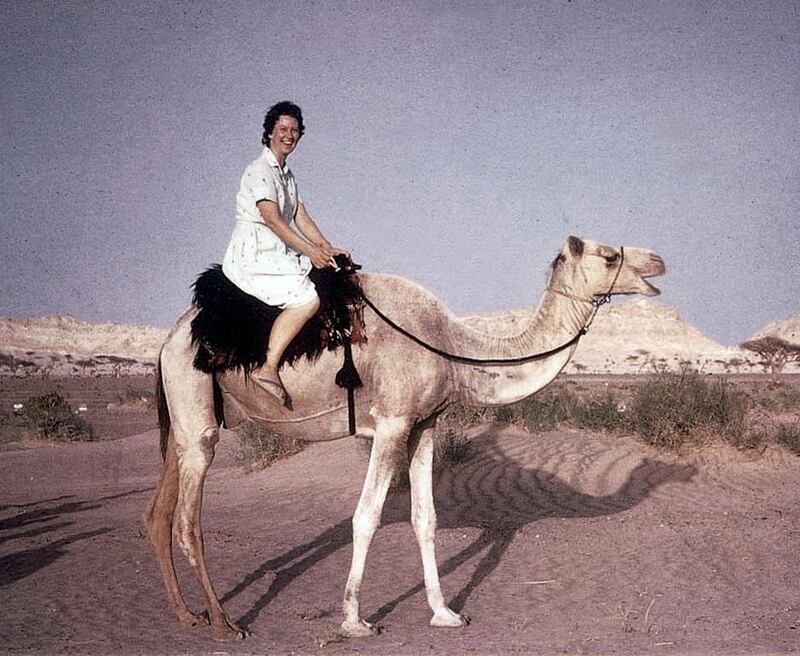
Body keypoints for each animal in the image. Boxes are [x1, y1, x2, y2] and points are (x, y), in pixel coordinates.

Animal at [144, 234, 664, 640]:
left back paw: (185, 615)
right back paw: (223, 623)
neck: (451, 347)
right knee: (188, 521)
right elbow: (366, 517)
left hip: (181, 421)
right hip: (195, 411)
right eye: (608, 256)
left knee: (158, 513)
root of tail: (171, 337)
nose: (657, 262)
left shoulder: (423, 424)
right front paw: (354, 621)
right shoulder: (392, 421)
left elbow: (425, 518)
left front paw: (445, 613)